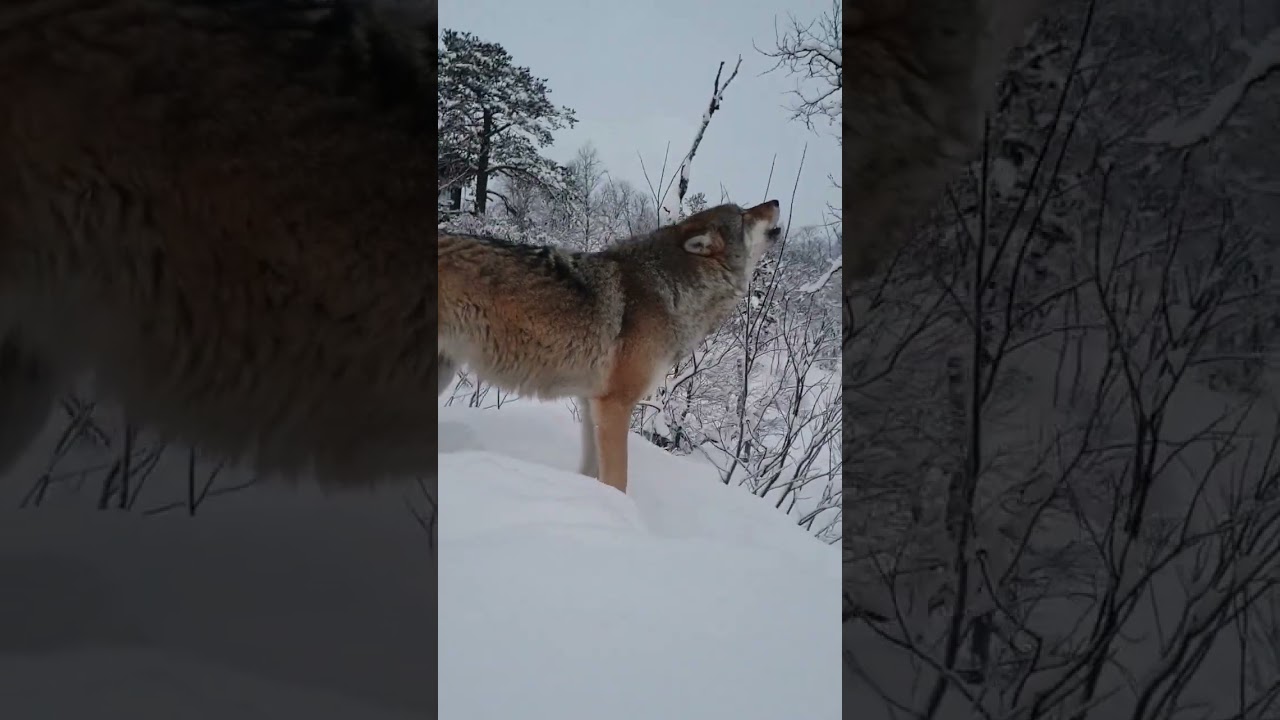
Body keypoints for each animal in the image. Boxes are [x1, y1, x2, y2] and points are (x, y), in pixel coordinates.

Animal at [437, 201, 782, 494]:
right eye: (744, 214)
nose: (776, 202)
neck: (672, 289)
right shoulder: (615, 404)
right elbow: (619, 479)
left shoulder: (592, 403)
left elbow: (593, 471)